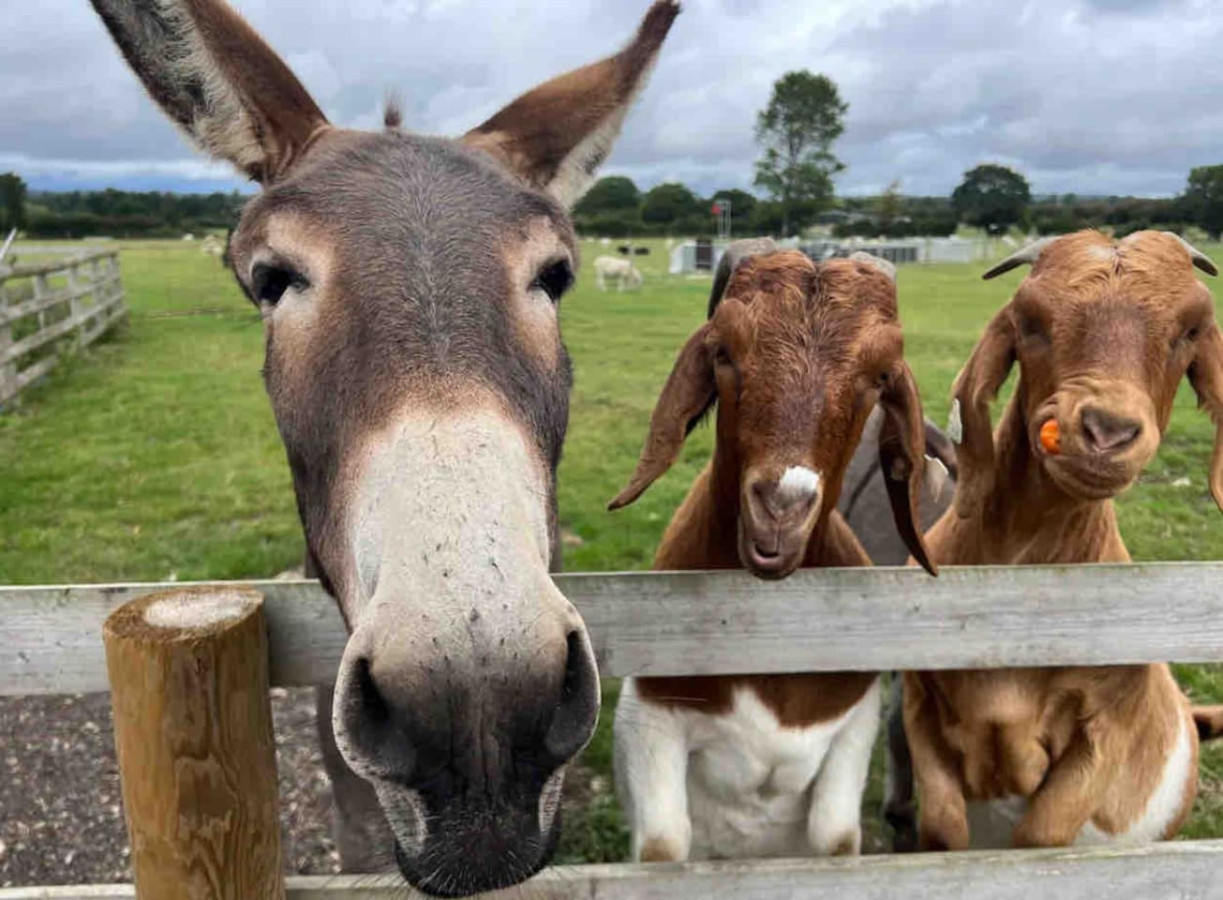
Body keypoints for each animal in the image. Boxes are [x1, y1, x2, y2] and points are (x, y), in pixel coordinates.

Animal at [608, 243, 936, 862]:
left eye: (880, 375)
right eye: (723, 352)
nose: (781, 507)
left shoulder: (853, 718)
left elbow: (834, 834)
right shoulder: (646, 717)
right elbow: (662, 844)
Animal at [901, 230, 1223, 851]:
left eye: (1191, 330)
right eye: (1029, 320)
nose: (1105, 430)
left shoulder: (1106, 729)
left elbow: (1040, 838)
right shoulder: (920, 706)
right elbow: (943, 829)